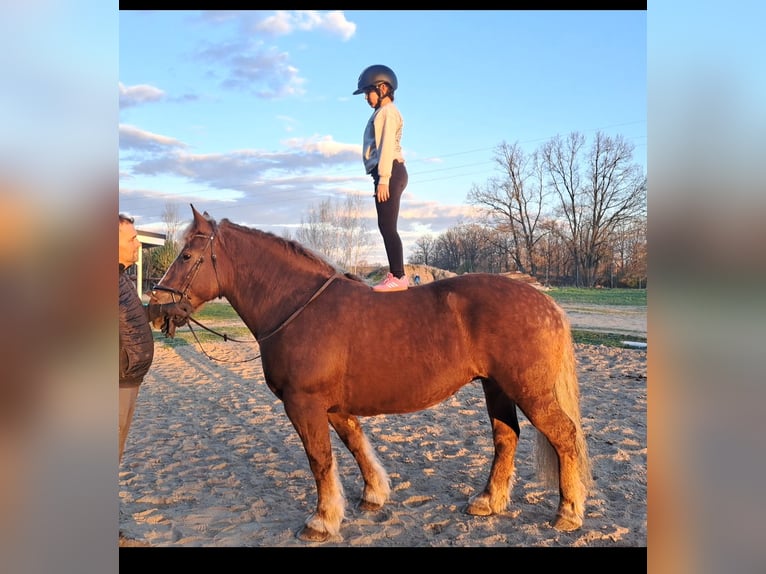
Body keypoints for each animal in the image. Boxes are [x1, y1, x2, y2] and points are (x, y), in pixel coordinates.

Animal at [149, 204, 592, 542]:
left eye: (186, 256)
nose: (156, 308)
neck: (297, 307)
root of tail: (542, 300)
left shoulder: (303, 405)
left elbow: (320, 460)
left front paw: (321, 521)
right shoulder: (332, 407)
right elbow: (355, 445)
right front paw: (373, 495)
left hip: (528, 390)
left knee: (563, 436)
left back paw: (568, 512)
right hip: (496, 387)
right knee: (506, 438)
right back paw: (488, 501)